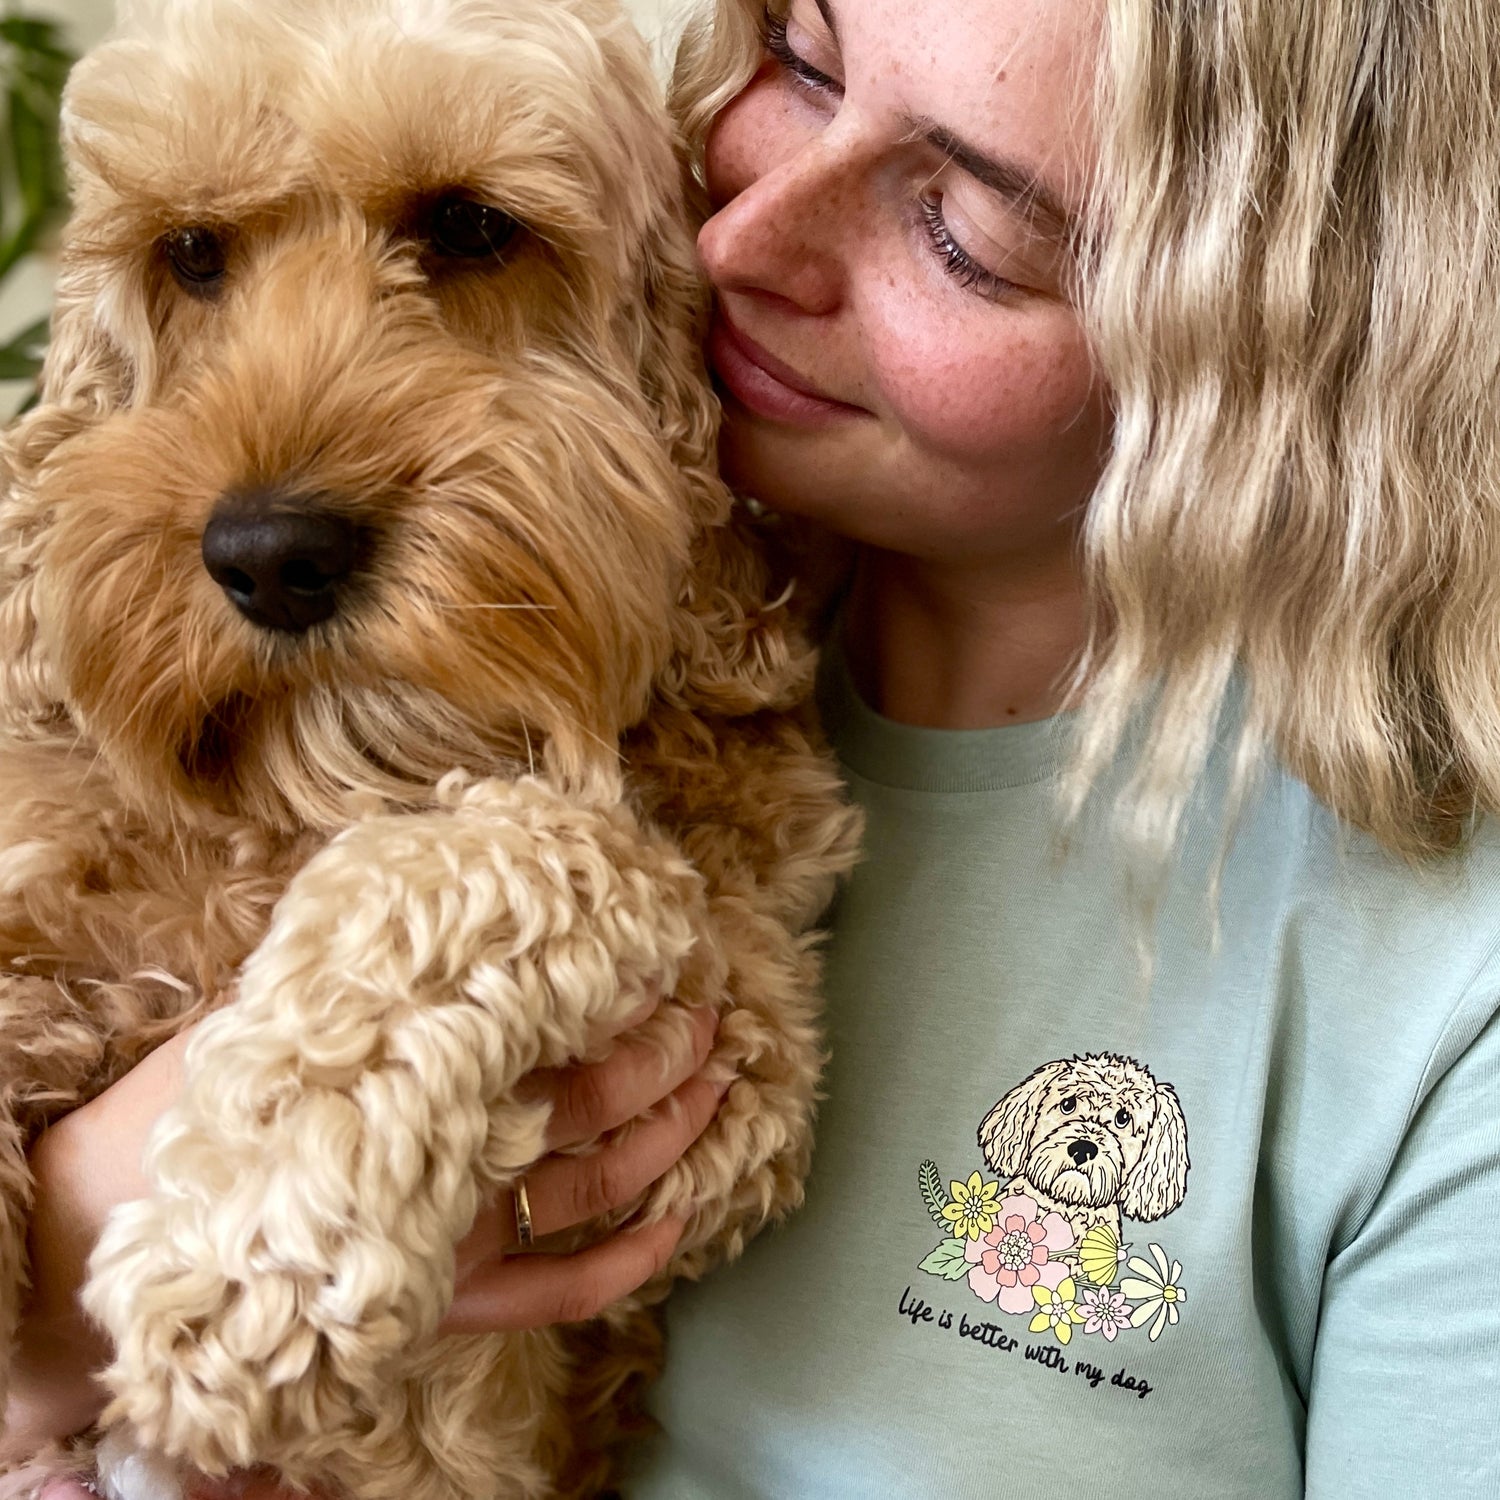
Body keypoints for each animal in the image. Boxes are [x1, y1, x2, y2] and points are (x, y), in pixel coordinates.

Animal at [0, 0, 858, 1494]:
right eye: (192, 253)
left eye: (467, 226)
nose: (270, 554)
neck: (321, 782)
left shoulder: (740, 1054)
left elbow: (503, 844)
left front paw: (256, 1241)